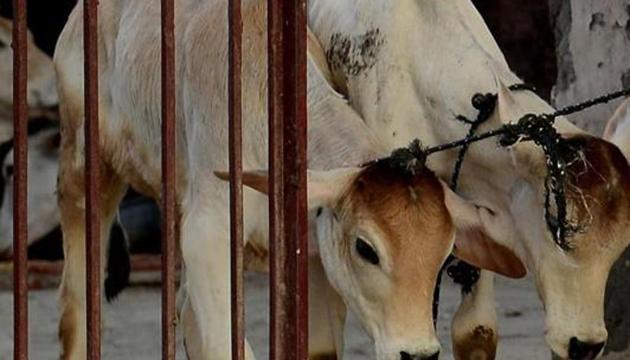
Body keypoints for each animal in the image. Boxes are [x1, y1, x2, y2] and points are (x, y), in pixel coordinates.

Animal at [53, 0, 524, 360]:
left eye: (444, 257)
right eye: (366, 249)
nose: (418, 354)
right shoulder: (209, 234)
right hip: (83, 167)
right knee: (76, 308)